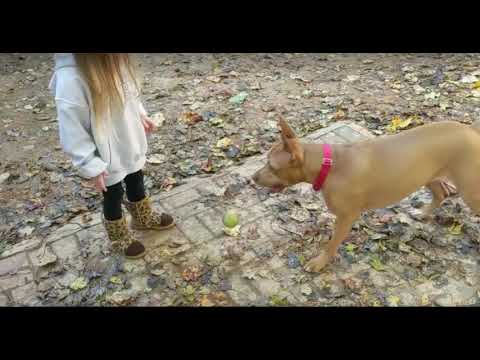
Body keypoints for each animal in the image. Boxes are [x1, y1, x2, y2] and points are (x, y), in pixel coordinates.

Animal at [253, 118, 480, 272]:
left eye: (271, 166)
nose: (252, 178)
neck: (329, 165)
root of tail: (470, 130)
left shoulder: (346, 217)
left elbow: (331, 244)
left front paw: (320, 262)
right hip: (427, 175)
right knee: (441, 193)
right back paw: (422, 213)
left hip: (470, 190)